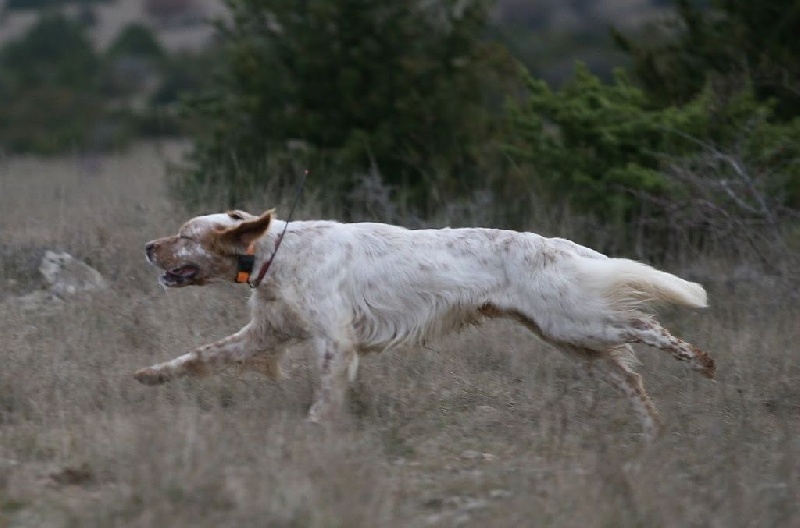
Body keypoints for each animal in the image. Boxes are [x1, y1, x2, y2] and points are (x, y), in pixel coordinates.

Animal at [134, 209, 716, 438]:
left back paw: (702, 362)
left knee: (645, 326)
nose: (147, 246)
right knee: (629, 374)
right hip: (568, 337)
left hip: (575, 320)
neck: (277, 251)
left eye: (184, 235)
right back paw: (653, 429)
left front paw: (313, 433)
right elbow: (198, 356)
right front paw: (149, 375)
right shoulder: (268, 333)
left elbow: (323, 398)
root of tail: (560, 245)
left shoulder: (335, 341)